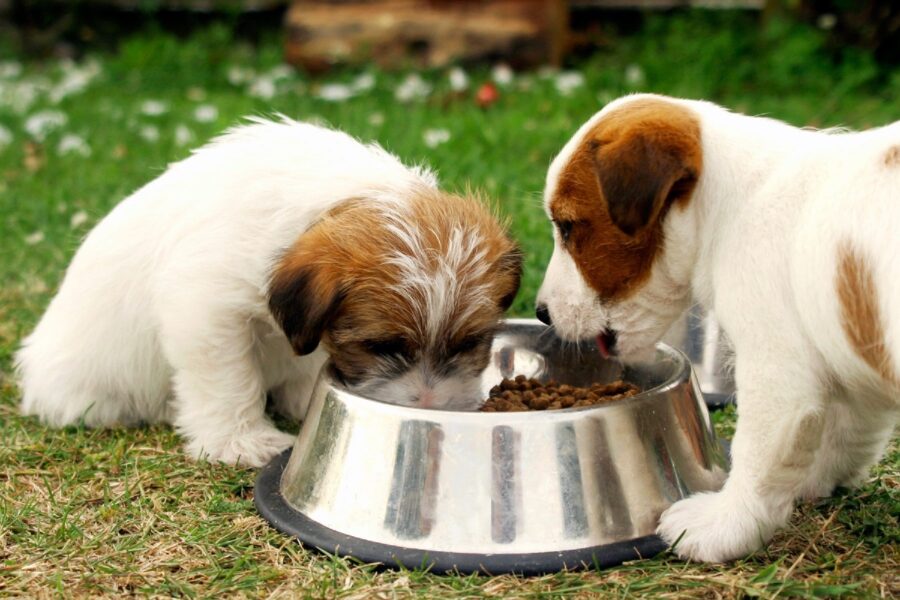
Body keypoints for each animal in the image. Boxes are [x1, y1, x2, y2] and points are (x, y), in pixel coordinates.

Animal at [15, 117, 520, 468]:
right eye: (380, 346)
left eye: (471, 343)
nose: (434, 405)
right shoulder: (206, 311)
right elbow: (229, 380)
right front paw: (242, 442)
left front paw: (301, 401)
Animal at [536, 92, 896, 564]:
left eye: (568, 227)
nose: (540, 311)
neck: (727, 206)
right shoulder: (848, 352)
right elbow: (847, 430)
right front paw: (813, 479)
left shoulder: (776, 373)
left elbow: (757, 456)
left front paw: (724, 524)